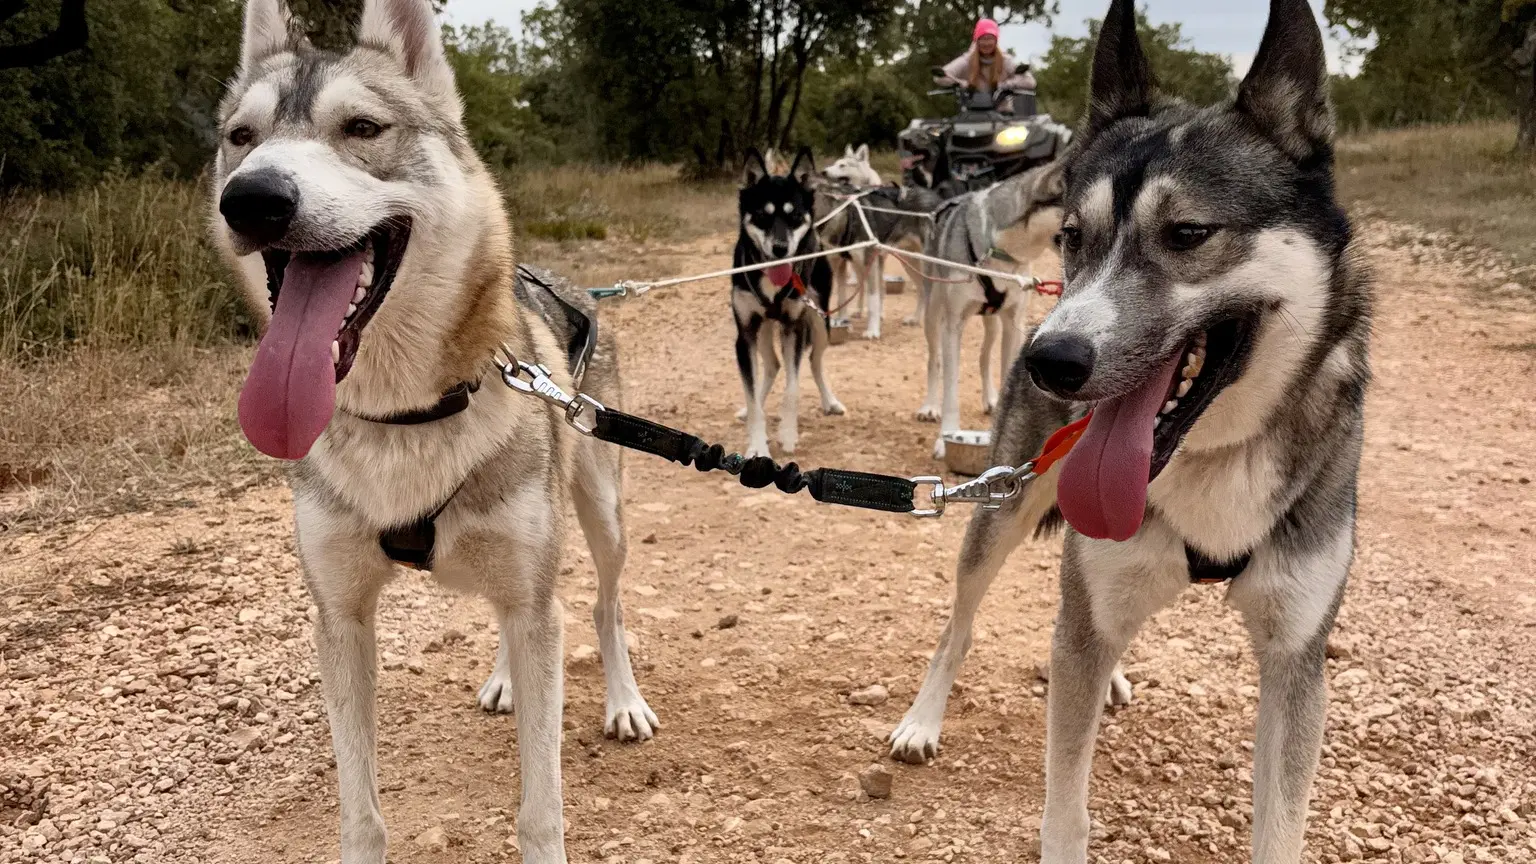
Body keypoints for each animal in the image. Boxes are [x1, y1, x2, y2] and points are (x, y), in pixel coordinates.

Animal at [210, 3, 654, 854]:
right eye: (240, 137)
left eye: (362, 126)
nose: (251, 199)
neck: (404, 416)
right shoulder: (341, 621)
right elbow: (361, 815)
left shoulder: (535, 598)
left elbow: (540, 809)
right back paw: (507, 679)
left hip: (603, 515)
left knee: (605, 606)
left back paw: (623, 702)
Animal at [734, 146, 847, 458]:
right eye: (762, 215)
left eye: (795, 215)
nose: (780, 248)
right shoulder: (744, 334)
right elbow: (751, 394)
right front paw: (758, 444)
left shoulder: (794, 328)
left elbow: (793, 387)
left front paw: (787, 434)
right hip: (762, 332)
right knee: (772, 366)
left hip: (820, 323)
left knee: (814, 362)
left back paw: (830, 401)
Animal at [915, 162, 1062, 458]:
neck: (999, 249)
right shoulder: (952, 326)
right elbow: (950, 390)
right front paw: (945, 438)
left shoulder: (1013, 324)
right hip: (932, 314)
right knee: (933, 360)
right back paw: (930, 406)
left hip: (993, 323)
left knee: (984, 357)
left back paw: (990, 398)